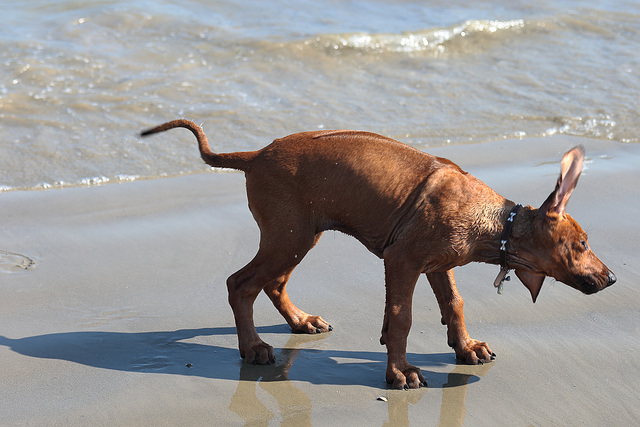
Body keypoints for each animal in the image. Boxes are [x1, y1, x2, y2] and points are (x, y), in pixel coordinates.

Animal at [140, 118, 616, 390]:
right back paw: (253, 346)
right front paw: (400, 371)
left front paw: (465, 348)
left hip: (298, 236)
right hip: (288, 237)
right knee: (240, 284)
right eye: (582, 244)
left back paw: (300, 321)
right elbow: (401, 318)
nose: (612, 279)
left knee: (272, 283)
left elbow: (454, 304)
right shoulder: (401, 261)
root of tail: (256, 154)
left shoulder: (438, 266)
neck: (497, 223)